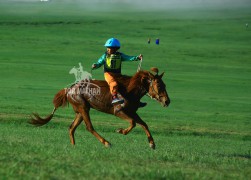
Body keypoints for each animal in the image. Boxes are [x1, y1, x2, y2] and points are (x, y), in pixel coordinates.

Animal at [29, 67, 171, 149]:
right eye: (159, 86)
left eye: (164, 84)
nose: (167, 101)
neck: (131, 90)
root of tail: (69, 89)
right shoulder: (119, 112)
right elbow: (133, 123)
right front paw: (120, 131)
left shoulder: (132, 112)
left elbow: (143, 124)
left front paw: (152, 143)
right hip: (83, 108)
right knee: (89, 127)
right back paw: (106, 143)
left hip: (80, 111)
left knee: (71, 128)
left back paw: (73, 147)